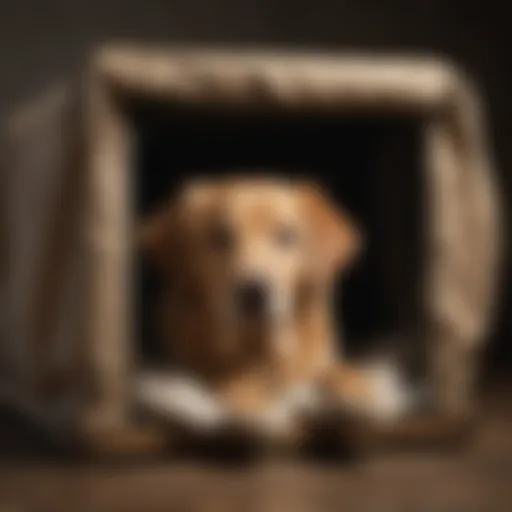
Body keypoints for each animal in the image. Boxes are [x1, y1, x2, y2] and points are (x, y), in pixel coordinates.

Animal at [134, 174, 418, 454]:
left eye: (286, 236)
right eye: (220, 237)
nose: (253, 292)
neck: (264, 349)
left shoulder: (316, 362)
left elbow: (333, 371)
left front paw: (359, 390)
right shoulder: (199, 365)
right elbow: (233, 376)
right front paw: (254, 404)